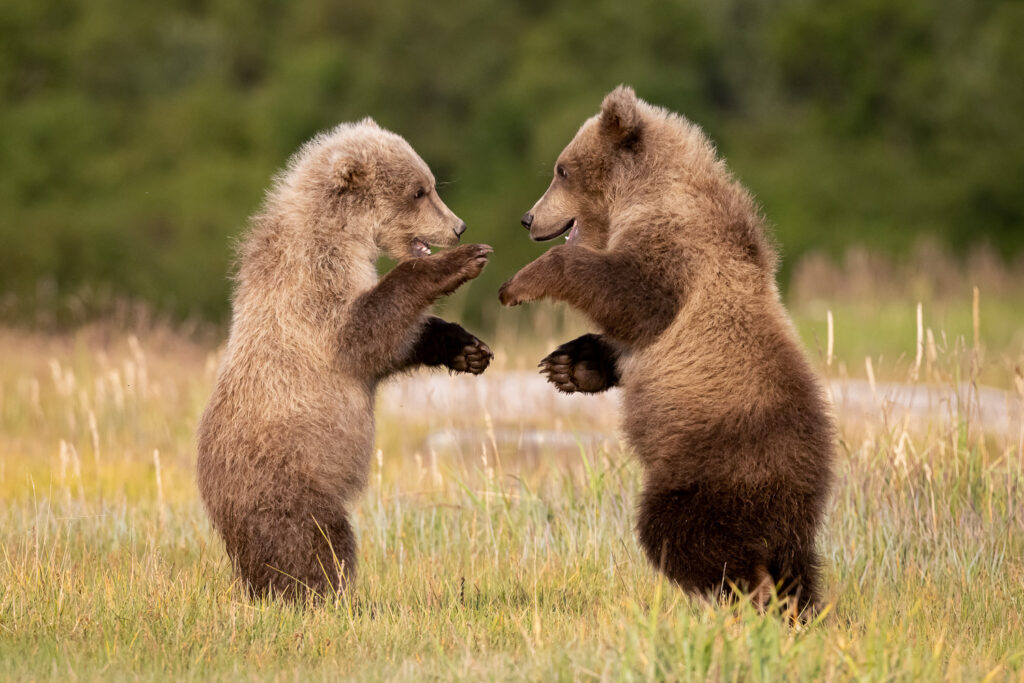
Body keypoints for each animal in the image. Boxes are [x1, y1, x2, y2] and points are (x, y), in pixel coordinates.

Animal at [196, 119, 494, 601]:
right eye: (419, 191)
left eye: (431, 185)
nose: (459, 228)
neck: (342, 236)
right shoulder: (312, 292)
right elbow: (364, 334)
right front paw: (460, 263)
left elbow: (396, 343)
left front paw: (468, 349)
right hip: (289, 479)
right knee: (314, 542)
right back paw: (327, 595)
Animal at [499, 86, 835, 614]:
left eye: (561, 169)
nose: (529, 218)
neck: (646, 192)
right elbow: (622, 336)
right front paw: (567, 365)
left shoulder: (676, 250)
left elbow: (632, 298)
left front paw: (520, 282)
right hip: (786, 515)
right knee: (798, 572)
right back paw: (795, 609)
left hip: (714, 470)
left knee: (680, 533)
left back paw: (749, 596)